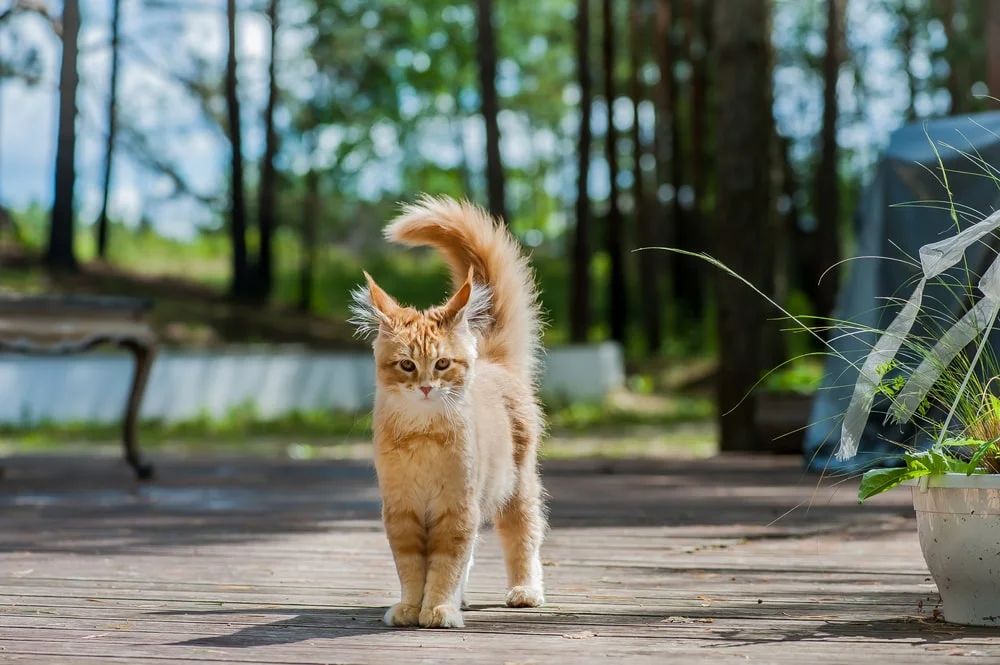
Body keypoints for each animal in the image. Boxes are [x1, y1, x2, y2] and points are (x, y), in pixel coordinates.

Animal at [352, 196, 548, 628]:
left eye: (441, 364)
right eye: (407, 365)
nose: (427, 387)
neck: (423, 437)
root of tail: (492, 359)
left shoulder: (456, 511)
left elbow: (445, 566)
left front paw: (439, 608)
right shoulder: (403, 512)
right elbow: (412, 569)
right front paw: (411, 607)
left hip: (517, 488)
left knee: (523, 538)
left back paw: (525, 591)